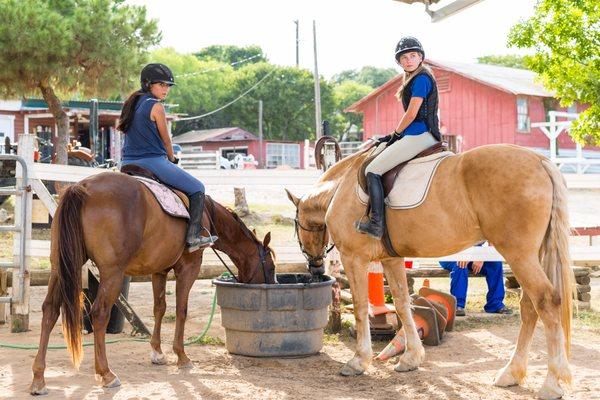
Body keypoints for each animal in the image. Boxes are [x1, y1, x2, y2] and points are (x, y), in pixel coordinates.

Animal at [30, 172, 276, 394]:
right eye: (271, 267)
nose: (272, 284)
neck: (207, 212)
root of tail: (82, 187)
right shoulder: (189, 267)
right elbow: (181, 310)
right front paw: (181, 355)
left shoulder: (159, 270)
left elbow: (160, 308)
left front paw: (157, 352)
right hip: (112, 273)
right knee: (99, 313)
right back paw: (106, 373)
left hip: (59, 267)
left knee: (49, 310)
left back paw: (39, 378)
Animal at [288, 141, 576, 400]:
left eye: (297, 226)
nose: (315, 268)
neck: (339, 189)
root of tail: (539, 160)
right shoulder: (391, 259)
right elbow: (403, 304)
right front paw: (411, 358)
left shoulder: (354, 258)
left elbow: (360, 308)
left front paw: (359, 361)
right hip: (531, 255)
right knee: (530, 306)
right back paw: (511, 373)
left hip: (519, 255)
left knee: (546, 302)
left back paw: (551, 384)